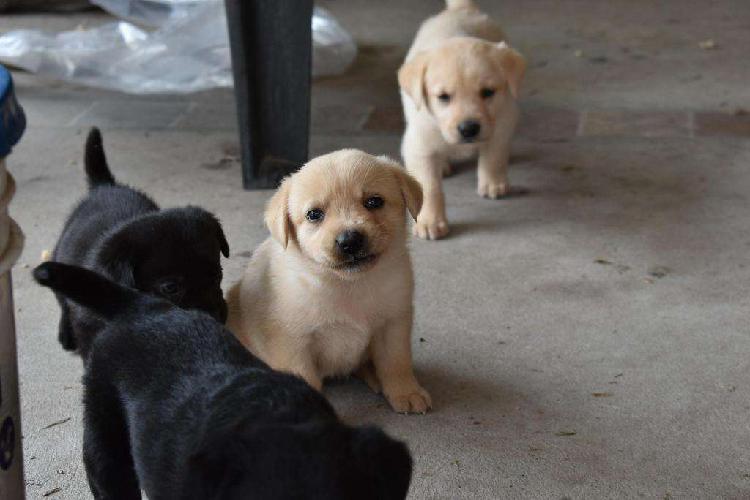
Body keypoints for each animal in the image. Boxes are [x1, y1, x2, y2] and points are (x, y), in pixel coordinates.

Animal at [226, 149, 432, 414]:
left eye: (374, 201)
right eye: (314, 214)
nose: (350, 240)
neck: (347, 285)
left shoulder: (393, 324)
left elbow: (396, 363)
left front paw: (406, 391)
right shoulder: (293, 345)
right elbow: (305, 380)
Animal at [400, 0, 528, 240]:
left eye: (488, 92)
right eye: (443, 97)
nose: (469, 128)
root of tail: (461, 9)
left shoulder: (503, 122)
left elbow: (494, 155)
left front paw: (493, 182)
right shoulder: (419, 145)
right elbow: (429, 187)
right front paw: (430, 221)